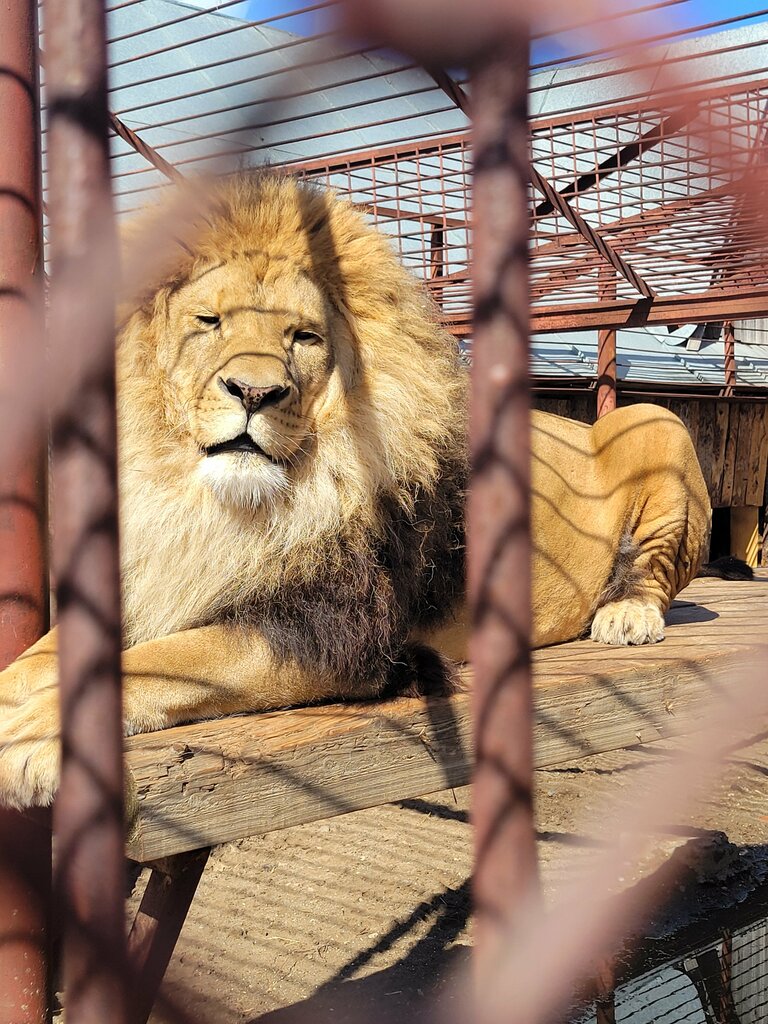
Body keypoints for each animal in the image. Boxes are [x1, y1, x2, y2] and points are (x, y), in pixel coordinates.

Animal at [0, 172, 712, 806]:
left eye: (304, 336)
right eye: (209, 321)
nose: (254, 392)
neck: (211, 501)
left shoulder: (332, 629)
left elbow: (173, 657)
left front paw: (32, 733)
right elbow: (42, 657)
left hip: (656, 423)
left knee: (654, 569)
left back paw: (625, 613)